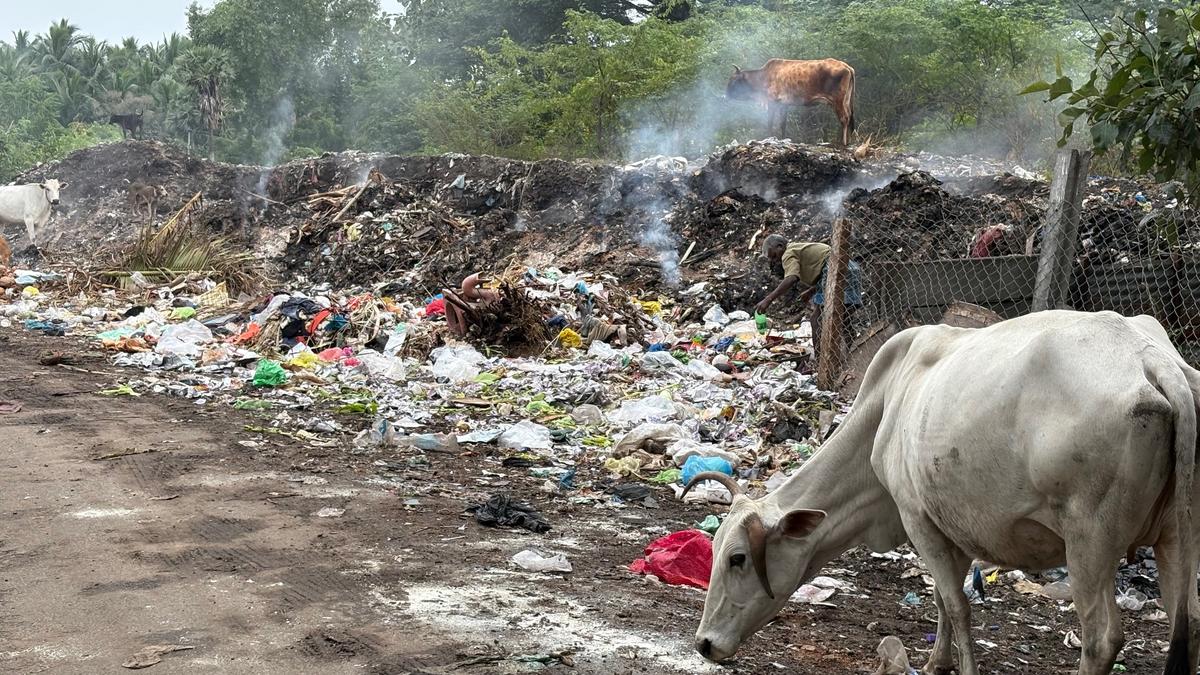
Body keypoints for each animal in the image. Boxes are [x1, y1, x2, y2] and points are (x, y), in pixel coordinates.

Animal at [686, 309, 1200, 672]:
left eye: (737, 558)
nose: (704, 644)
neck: (886, 403)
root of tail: (1151, 358)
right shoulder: (952, 521)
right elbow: (940, 599)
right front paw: (937, 661)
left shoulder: (917, 517)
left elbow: (956, 606)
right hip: (1176, 536)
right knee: (1188, 624)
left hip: (1089, 541)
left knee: (1101, 639)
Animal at [724, 58, 859, 145]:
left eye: (733, 80)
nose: (725, 95)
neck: (763, 77)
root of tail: (847, 67)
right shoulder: (783, 104)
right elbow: (782, 124)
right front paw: (783, 139)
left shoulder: (772, 102)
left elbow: (770, 122)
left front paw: (768, 138)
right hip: (846, 101)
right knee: (849, 118)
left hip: (838, 100)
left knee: (844, 119)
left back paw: (843, 143)